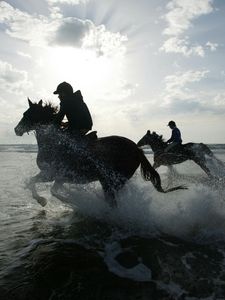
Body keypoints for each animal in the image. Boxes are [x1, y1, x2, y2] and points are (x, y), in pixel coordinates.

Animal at [14, 99, 186, 207]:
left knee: (112, 201)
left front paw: (44, 200)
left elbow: (33, 182)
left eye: (27, 114)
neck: (53, 143)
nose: (16, 130)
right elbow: (51, 189)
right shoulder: (59, 178)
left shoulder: (50, 173)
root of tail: (137, 149)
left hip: (110, 181)